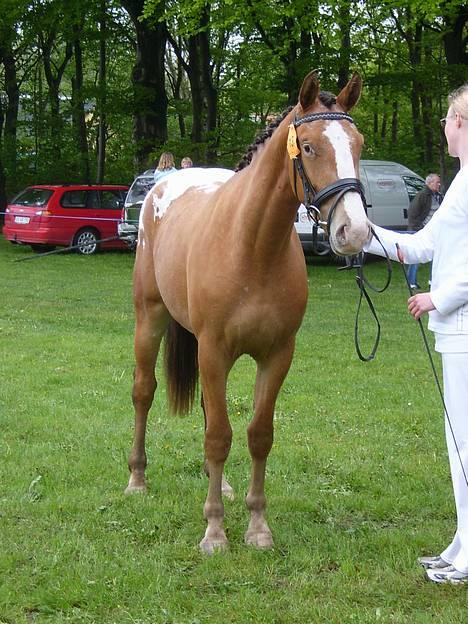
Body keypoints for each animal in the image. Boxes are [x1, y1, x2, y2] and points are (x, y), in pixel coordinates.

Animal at [126, 70, 372, 552]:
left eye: (358, 144)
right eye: (309, 147)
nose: (353, 231)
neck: (253, 247)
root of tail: (163, 185)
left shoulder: (277, 355)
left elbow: (258, 435)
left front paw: (257, 525)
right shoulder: (213, 351)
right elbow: (219, 436)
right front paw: (215, 531)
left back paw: (218, 483)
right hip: (151, 318)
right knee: (144, 392)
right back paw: (137, 479)